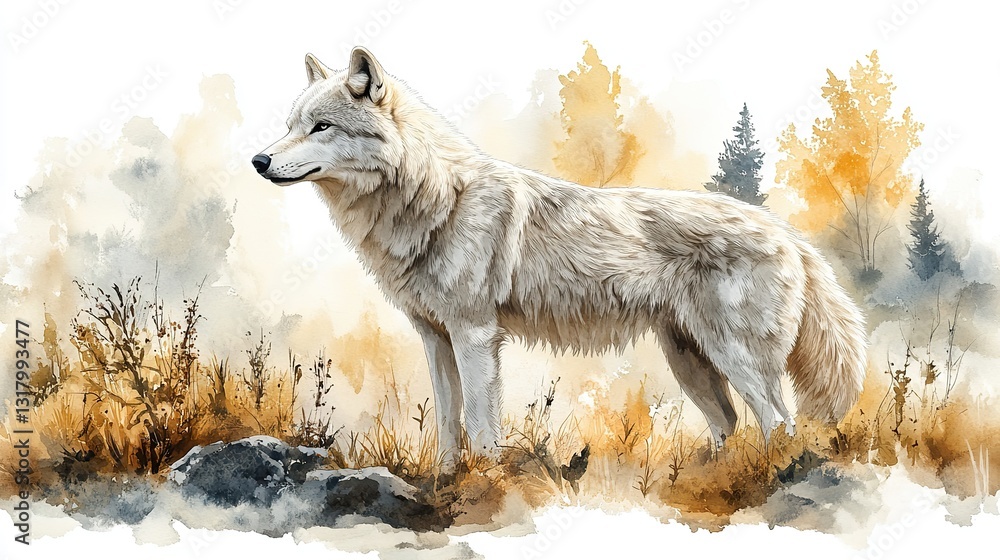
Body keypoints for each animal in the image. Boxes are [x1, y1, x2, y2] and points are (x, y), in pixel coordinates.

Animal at [252, 47, 867, 465]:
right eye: (290, 126)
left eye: (321, 126)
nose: (258, 161)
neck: (435, 199)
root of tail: (789, 234)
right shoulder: (435, 338)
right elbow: (449, 426)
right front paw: (445, 482)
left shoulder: (475, 336)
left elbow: (481, 425)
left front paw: (485, 486)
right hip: (691, 362)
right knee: (732, 425)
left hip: (734, 357)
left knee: (780, 422)